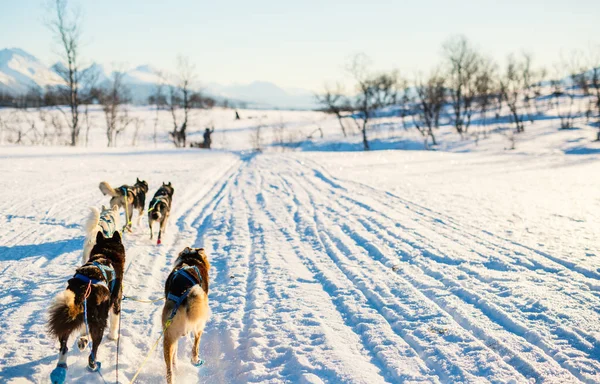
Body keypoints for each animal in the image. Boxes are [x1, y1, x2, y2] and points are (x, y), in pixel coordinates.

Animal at [47, 231, 125, 384]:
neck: (106, 253)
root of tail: (84, 289)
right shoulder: (116, 303)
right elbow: (115, 322)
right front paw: (113, 336)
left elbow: (83, 329)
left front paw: (83, 339)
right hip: (99, 325)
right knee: (92, 353)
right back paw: (93, 365)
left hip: (67, 322)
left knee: (64, 347)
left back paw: (60, 369)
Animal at [162, 248, 211, 382]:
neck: (190, 260)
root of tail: (184, 296)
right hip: (199, 325)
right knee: (195, 347)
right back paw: (195, 360)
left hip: (169, 337)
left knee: (170, 369)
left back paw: (174, 372)